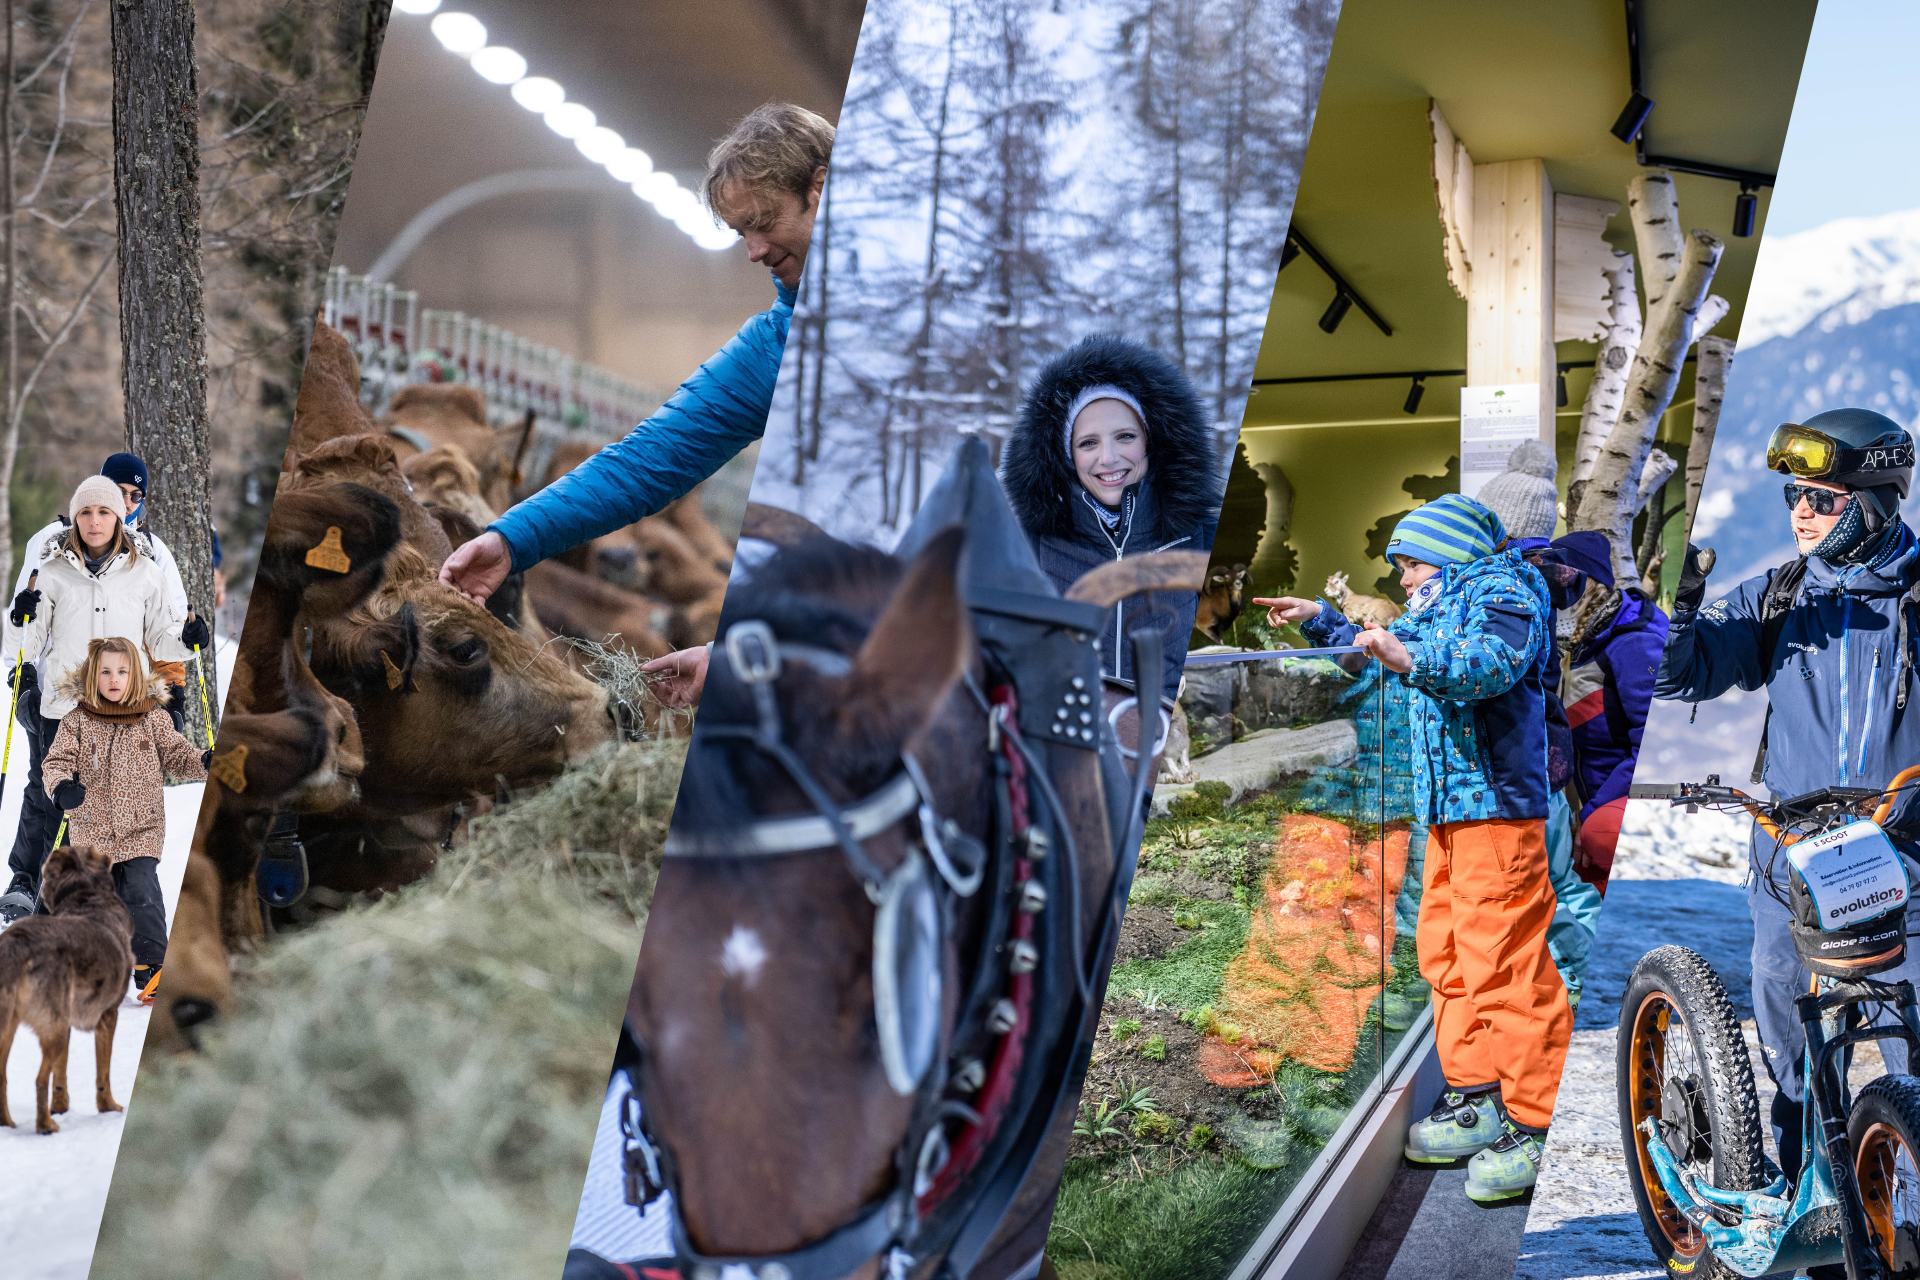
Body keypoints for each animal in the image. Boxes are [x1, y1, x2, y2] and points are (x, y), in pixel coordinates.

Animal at [0, 844, 135, 1136]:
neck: (86, 897)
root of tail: (20, 946)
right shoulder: (108, 1015)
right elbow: (103, 1072)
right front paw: (109, 1107)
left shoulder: (69, 1018)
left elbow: (60, 1073)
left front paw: (61, 1107)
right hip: (55, 1027)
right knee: (39, 1079)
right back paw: (45, 1125)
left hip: (18, 1024)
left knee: (3, 1075)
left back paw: (8, 1122)